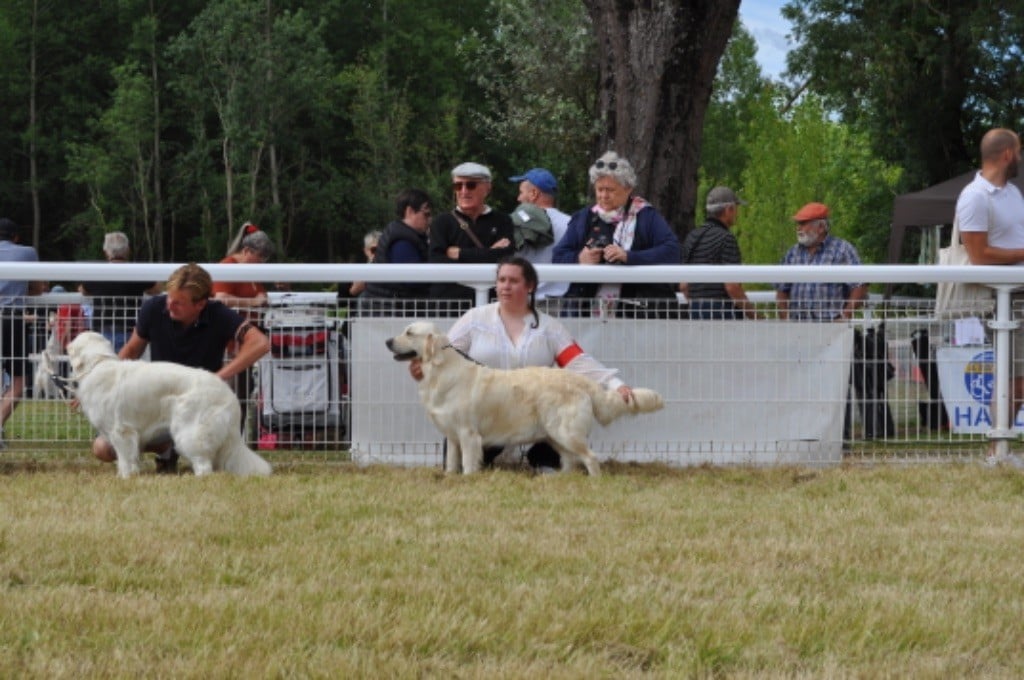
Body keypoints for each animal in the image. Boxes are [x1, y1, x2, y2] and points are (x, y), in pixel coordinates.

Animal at [67, 329, 272, 477]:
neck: (98, 364)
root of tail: (229, 395)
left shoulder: (121, 431)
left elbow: (125, 460)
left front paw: (124, 478)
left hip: (189, 432)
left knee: (203, 465)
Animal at [385, 321, 663, 475]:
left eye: (409, 332)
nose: (387, 341)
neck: (440, 370)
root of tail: (580, 381)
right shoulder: (452, 435)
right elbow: (452, 462)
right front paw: (450, 477)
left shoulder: (468, 433)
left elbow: (468, 463)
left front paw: (468, 479)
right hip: (555, 435)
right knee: (570, 460)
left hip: (565, 431)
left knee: (590, 458)